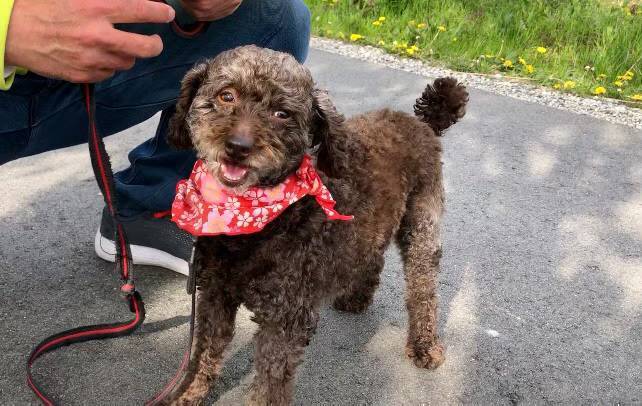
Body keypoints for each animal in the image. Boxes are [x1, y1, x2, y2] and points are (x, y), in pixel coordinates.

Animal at [164, 45, 468, 405]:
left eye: (282, 113)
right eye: (227, 95)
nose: (238, 147)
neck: (252, 226)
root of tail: (422, 123)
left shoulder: (284, 318)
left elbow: (269, 386)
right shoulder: (215, 294)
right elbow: (204, 355)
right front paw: (187, 394)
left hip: (422, 225)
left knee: (423, 287)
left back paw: (423, 345)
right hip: (371, 226)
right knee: (371, 255)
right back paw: (356, 299)